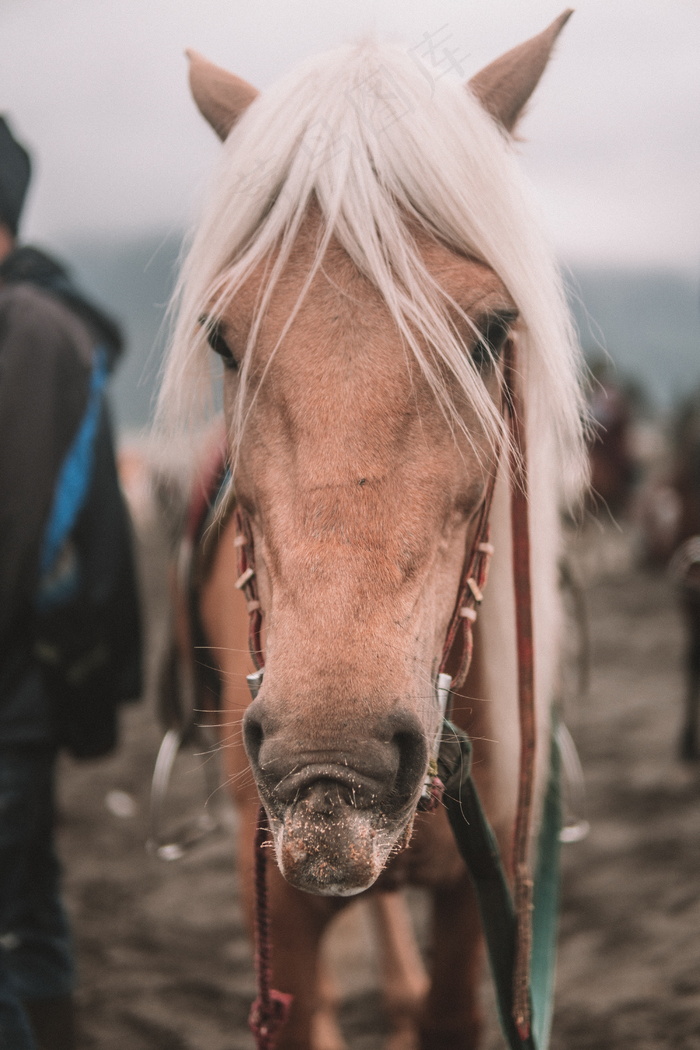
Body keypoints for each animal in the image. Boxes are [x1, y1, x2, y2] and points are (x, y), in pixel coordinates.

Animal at [157, 14, 587, 1050]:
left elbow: (444, 1012)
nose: (330, 765)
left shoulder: (477, 902)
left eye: (491, 331)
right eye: (222, 339)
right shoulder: (277, 904)